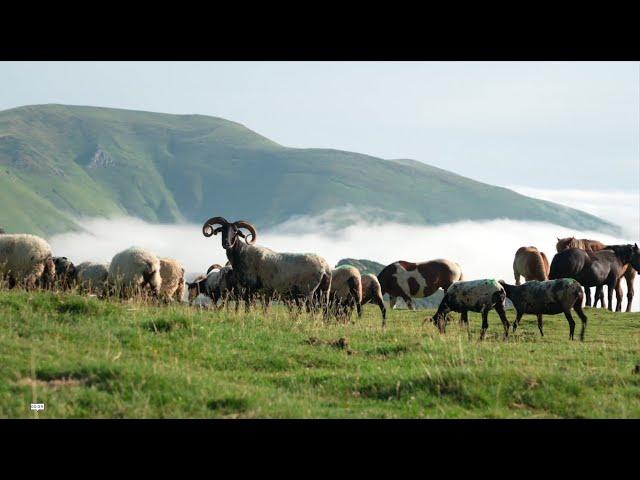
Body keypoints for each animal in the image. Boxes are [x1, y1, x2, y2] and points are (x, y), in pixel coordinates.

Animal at [201, 218, 332, 316]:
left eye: (236, 231)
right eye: (222, 230)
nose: (226, 243)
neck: (242, 254)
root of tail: (325, 266)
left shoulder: (250, 288)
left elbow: (248, 306)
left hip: (308, 292)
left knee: (311, 309)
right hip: (323, 292)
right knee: (323, 309)